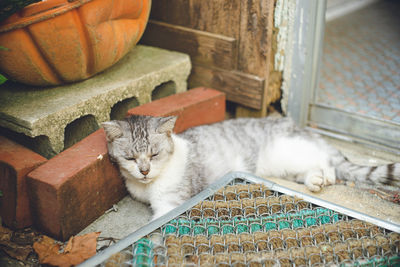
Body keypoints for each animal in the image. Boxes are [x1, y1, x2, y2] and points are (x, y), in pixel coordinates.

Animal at [101, 114, 400, 220]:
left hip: (288, 152)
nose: (144, 171)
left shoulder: (170, 203)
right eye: (130, 158)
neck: (147, 187)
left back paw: (324, 176)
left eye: (154, 154)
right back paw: (315, 181)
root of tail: (295, 124)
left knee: (326, 160)